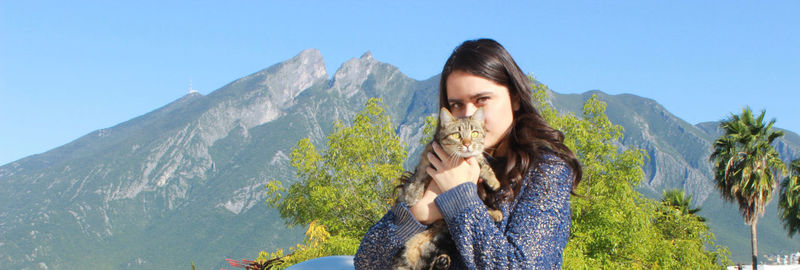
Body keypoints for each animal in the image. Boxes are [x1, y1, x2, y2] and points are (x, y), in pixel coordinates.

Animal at [392, 107, 500, 270]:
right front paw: (413, 194)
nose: (467, 144)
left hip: (441, 241)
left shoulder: (476, 157)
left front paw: (493, 181)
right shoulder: (428, 155)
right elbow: (421, 176)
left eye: (474, 133)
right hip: (409, 253)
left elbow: (482, 162)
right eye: (457, 135)